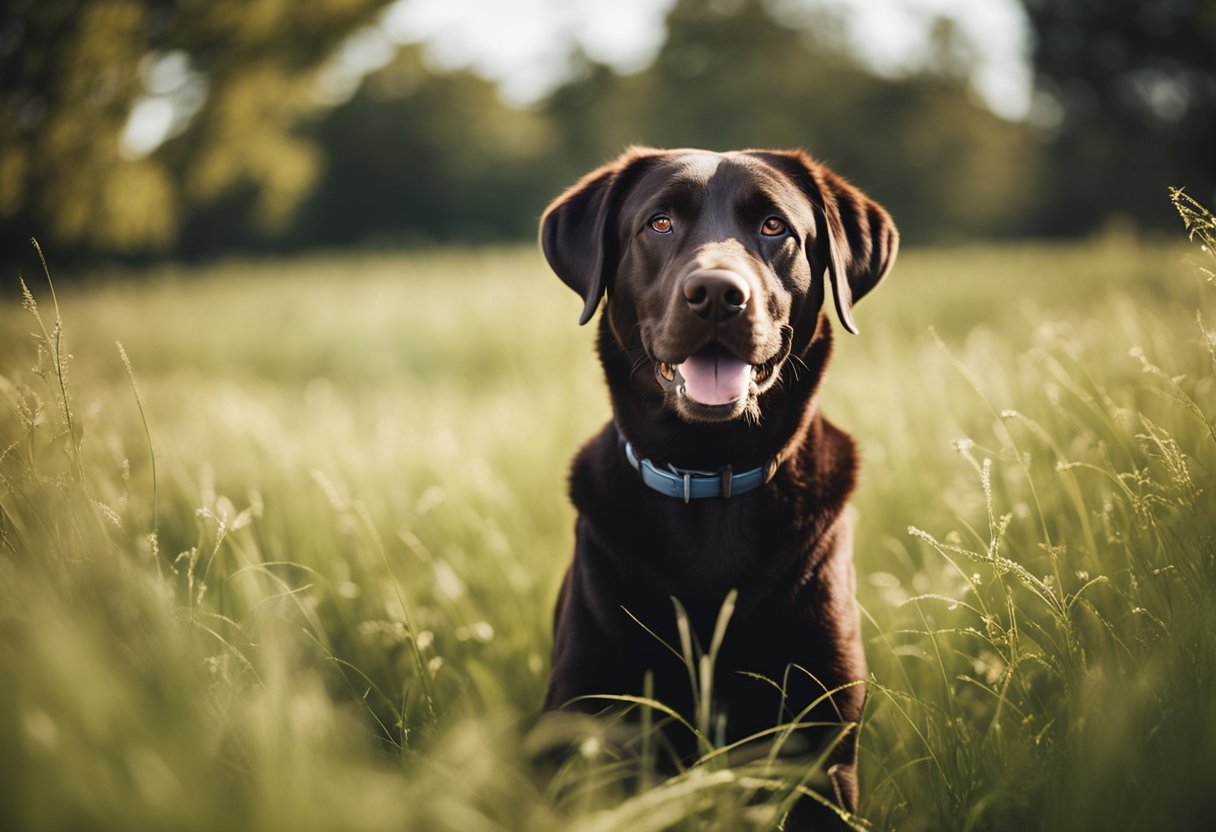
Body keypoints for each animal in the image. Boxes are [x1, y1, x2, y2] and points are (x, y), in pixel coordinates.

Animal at [537, 147, 899, 817]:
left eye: (775, 226)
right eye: (658, 223)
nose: (715, 293)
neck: (707, 471)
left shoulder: (823, 750)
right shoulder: (581, 724)